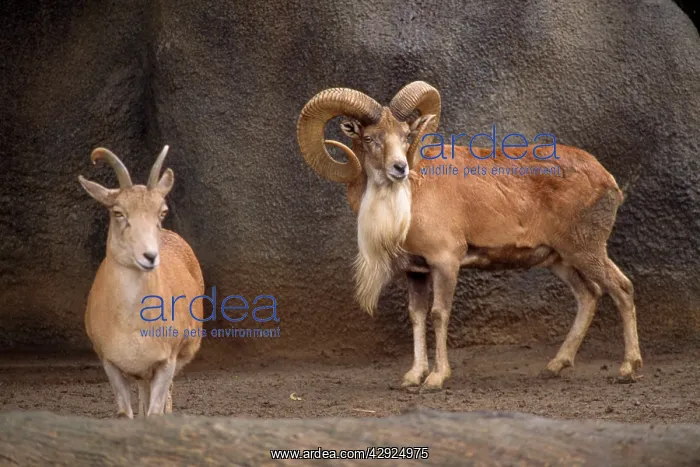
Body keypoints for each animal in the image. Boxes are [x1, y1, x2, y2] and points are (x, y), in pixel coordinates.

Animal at [78, 145, 204, 417]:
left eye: (162, 212)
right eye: (118, 212)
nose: (150, 256)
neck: (131, 325)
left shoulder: (166, 362)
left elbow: (155, 413)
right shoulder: (110, 363)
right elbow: (126, 413)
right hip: (142, 375)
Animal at [296, 81, 642, 391]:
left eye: (406, 136)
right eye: (369, 138)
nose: (400, 168)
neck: (407, 202)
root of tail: (607, 180)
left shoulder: (445, 263)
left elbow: (439, 315)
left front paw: (436, 379)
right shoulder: (416, 272)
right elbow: (417, 316)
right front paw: (412, 377)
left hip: (587, 251)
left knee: (622, 288)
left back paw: (628, 369)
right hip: (560, 260)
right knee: (589, 295)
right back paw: (555, 366)